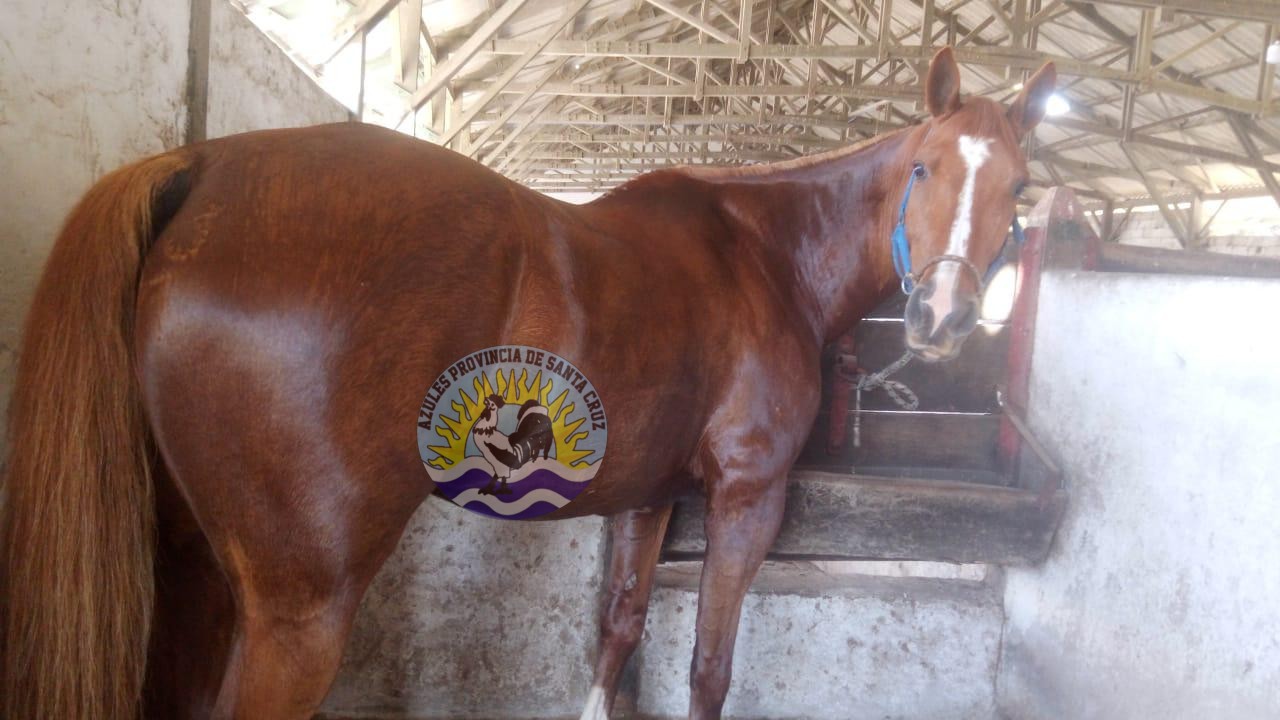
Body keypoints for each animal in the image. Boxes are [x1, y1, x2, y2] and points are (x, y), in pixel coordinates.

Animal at [0, 47, 1054, 712]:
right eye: (923, 170)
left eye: (1020, 189)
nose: (943, 320)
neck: (763, 254)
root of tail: (201, 167)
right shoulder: (748, 499)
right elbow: (708, 667)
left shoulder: (648, 499)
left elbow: (619, 636)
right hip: (296, 613)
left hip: (191, 575)